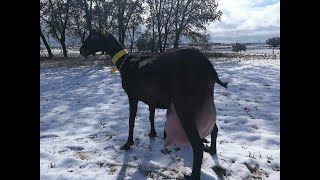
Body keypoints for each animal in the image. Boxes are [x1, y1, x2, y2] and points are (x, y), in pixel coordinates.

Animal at [79, 29, 228, 179]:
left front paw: (128, 143)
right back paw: (212, 150)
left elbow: (131, 120)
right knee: (214, 129)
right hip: (204, 103)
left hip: (186, 106)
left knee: (197, 145)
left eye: (93, 37)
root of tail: (208, 67)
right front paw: (152, 133)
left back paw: (192, 175)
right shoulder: (151, 100)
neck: (124, 62)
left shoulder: (132, 96)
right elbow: (151, 116)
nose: (81, 50)